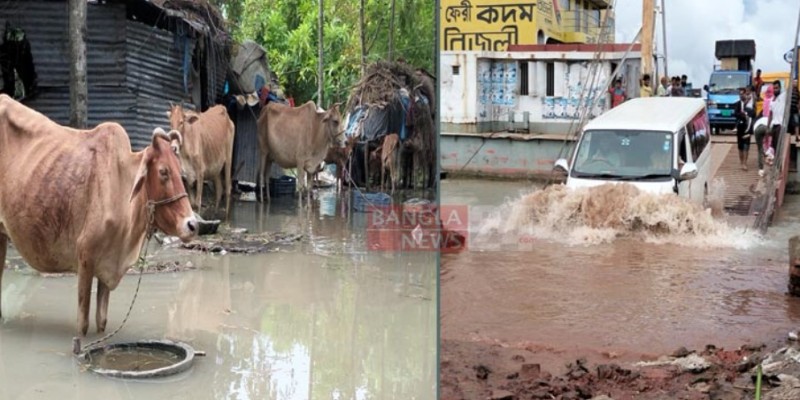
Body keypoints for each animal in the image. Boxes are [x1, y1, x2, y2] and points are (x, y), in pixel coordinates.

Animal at [0, 95, 198, 336]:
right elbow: (83, 324)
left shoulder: (108, 265)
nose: (192, 225)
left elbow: (101, 321)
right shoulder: (85, 257)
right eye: (163, 172)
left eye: (180, 171)